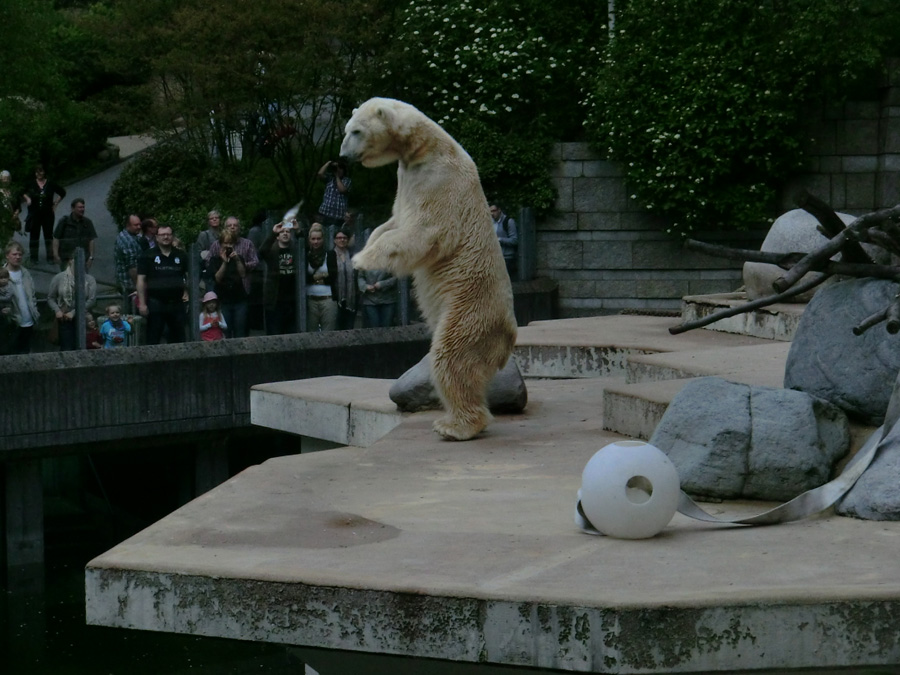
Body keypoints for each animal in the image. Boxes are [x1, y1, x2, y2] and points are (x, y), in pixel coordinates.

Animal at [342, 97, 516, 440]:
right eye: (347, 129)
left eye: (356, 131)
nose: (342, 156)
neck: (424, 147)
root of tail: (509, 335)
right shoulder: (406, 177)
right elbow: (391, 222)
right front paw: (364, 248)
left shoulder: (438, 181)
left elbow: (423, 232)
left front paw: (361, 261)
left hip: (469, 307)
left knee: (453, 356)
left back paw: (455, 425)